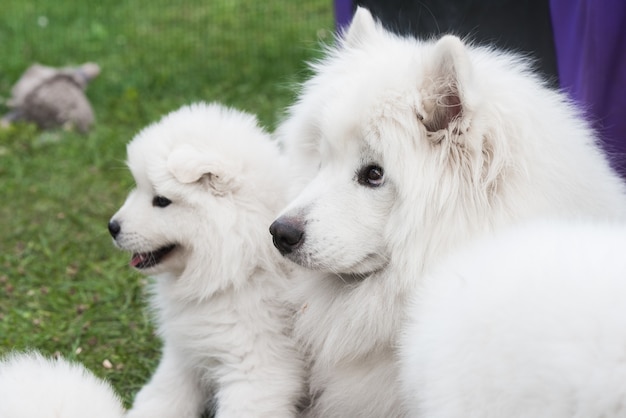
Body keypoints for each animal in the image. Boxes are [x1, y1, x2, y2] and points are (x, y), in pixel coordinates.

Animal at [109, 102, 304, 418]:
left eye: (161, 200)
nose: (112, 227)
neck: (241, 268)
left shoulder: (256, 370)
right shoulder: (186, 353)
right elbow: (165, 395)